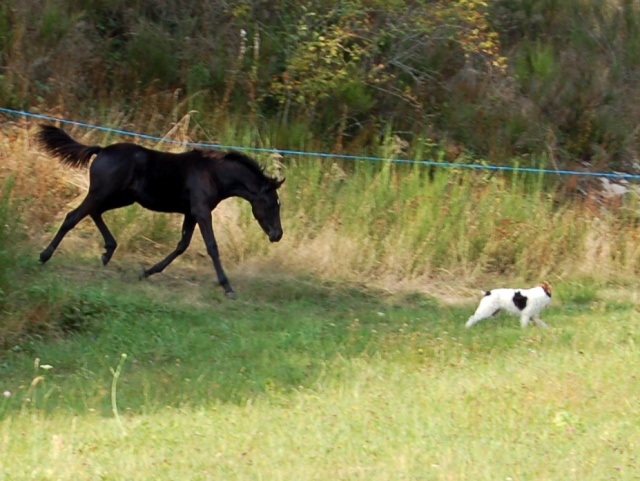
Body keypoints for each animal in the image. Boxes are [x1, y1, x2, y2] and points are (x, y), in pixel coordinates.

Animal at [36, 124, 284, 296]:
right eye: (272, 203)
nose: (277, 235)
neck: (212, 173)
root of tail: (102, 150)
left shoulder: (191, 213)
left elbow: (182, 245)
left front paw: (146, 272)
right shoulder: (202, 212)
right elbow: (212, 246)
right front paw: (228, 287)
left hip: (122, 198)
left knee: (94, 213)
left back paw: (108, 251)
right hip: (102, 193)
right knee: (73, 216)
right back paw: (44, 256)